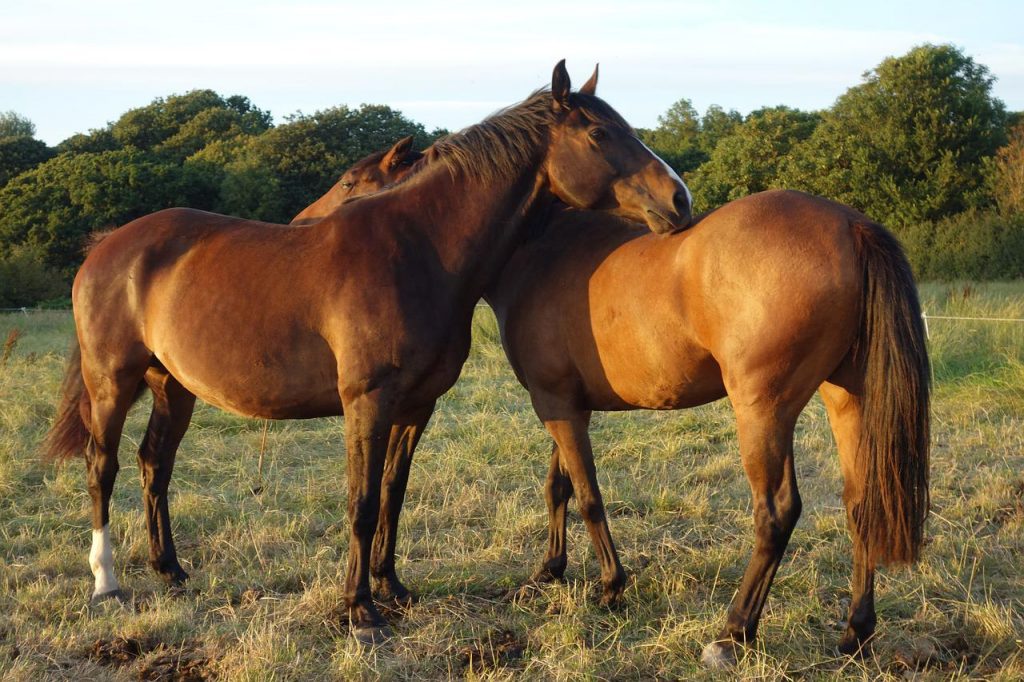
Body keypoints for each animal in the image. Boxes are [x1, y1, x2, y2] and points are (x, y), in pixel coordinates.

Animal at [44, 62, 692, 643]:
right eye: (599, 134)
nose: (679, 200)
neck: (419, 248)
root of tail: (106, 247)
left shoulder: (415, 407)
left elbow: (392, 495)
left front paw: (391, 588)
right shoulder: (367, 402)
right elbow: (360, 500)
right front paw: (359, 610)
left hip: (172, 387)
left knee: (155, 464)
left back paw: (171, 571)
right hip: (112, 382)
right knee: (103, 467)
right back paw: (106, 584)